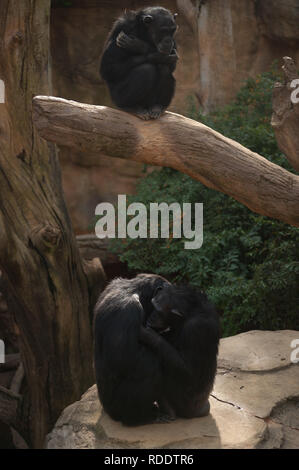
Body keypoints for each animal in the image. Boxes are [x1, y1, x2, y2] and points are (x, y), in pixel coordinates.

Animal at [94, 272, 190, 426]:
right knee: (149, 366)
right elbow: (121, 358)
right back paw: (142, 417)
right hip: (117, 407)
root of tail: (107, 411)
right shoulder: (127, 311)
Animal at [148, 282, 220, 418]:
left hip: (185, 405)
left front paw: (147, 333)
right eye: (152, 306)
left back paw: (168, 412)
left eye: (158, 312)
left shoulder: (196, 328)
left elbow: (188, 371)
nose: (151, 316)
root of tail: (201, 410)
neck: (190, 312)